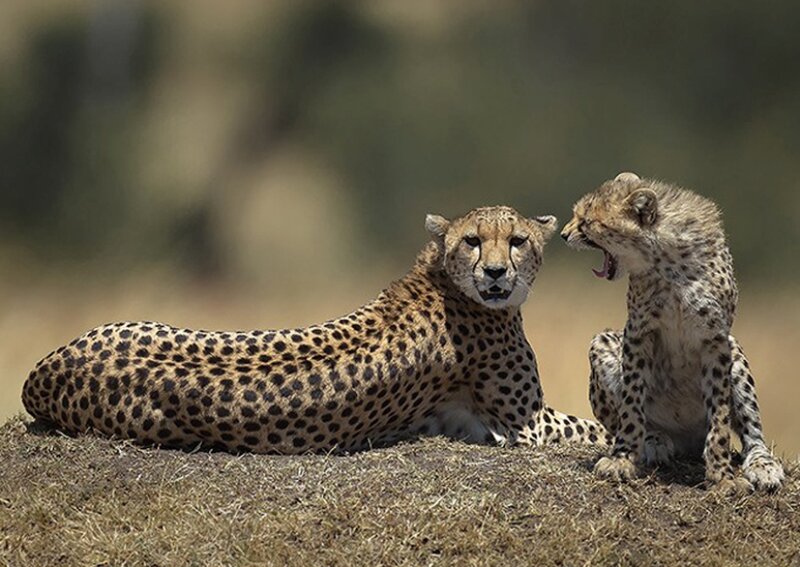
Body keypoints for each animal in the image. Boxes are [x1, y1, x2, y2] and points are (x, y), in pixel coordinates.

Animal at [22, 205, 610, 454]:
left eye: (516, 241)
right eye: (472, 241)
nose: (494, 273)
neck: (441, 278)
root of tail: (43, 371)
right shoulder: (526, 426)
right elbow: (593, 427)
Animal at [561, 171, 784, 493]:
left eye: (587, 221)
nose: (564, 234)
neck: (666, 261)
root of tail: (685, 439)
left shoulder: (716, 339)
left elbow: (720, 416)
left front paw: (722, 476)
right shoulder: (638, 333)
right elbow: (631, 404)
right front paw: (623, 459)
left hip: (736, 351)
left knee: (752, 430)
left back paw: (762, 465)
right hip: (601, 344)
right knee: (623, 419)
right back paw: (653, 440)